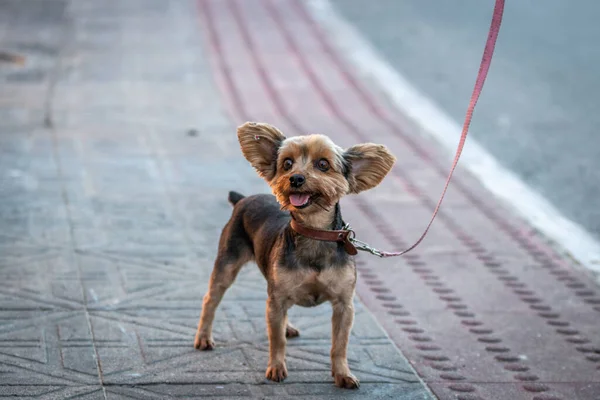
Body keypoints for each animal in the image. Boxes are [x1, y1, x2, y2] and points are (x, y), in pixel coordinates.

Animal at [195, 121, 396, 388]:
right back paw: (203, 337)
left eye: (323, 164)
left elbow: (339, 345)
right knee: (211, 299)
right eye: (287, 163)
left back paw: (286, 326)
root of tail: (242, 199)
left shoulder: (344, 305)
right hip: (227, 264)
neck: (314, 231)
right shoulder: (278, 297)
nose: (296, 178)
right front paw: (276, 368)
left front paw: (342, 374)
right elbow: (276, 340)